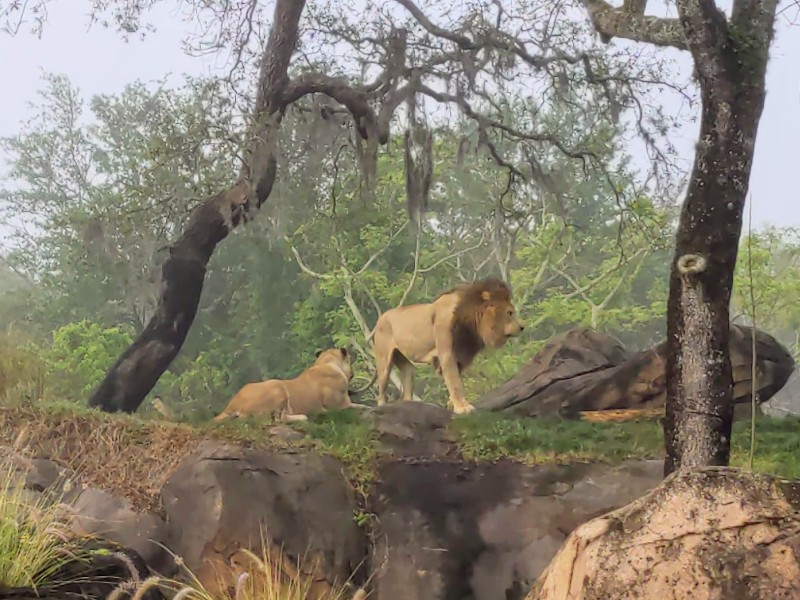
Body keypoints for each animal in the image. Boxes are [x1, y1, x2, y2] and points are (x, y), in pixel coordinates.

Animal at [209, 346, 366, 422]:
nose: (352, 373)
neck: (326, 362)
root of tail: (232, 404)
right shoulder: (340, 405)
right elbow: (362, 406)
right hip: (277, 386)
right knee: (279, 419)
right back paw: (306, 416)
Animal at [360, 276, 520, 412]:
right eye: (510, 313)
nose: (522, 327)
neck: (470, 320)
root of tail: (380, 319)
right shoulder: (447, 352)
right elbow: (455, 381)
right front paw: (462, 408)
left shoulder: (461, 353)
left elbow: (456, 378)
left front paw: (452, 404)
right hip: (384, 361)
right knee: (381, 391)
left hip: (405, 363)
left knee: (407, 383)